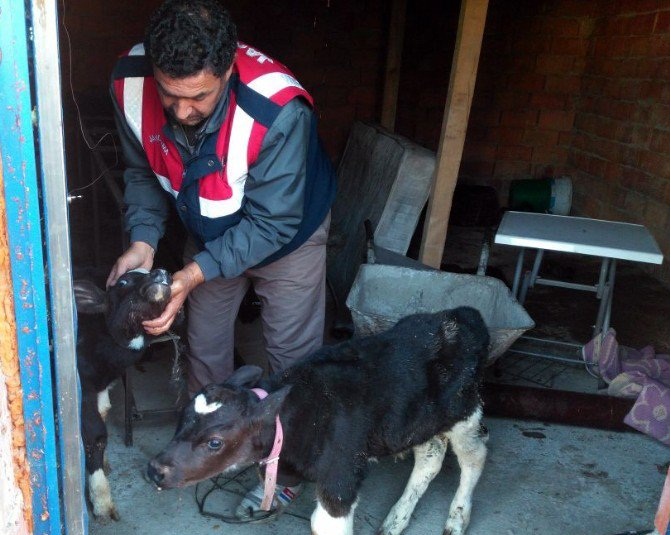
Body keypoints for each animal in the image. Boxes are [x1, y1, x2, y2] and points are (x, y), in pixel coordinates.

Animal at [74, 270, 173, 520]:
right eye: (123, 282)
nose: (161, 272)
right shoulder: (84, 388)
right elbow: (95, 434)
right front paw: (101, 501)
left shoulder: (102, 386)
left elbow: (104, 411)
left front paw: (103, 462)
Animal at [148, 308, 488, 532]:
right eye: (182, 419)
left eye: (215, 442)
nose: (154, 470)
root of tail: (461, 316)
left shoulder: (340, 478)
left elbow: (323, 523)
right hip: (419, 420)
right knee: (431, 457)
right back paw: (396, 519)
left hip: (464, 409)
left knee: (475, 455)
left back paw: (456, 519)